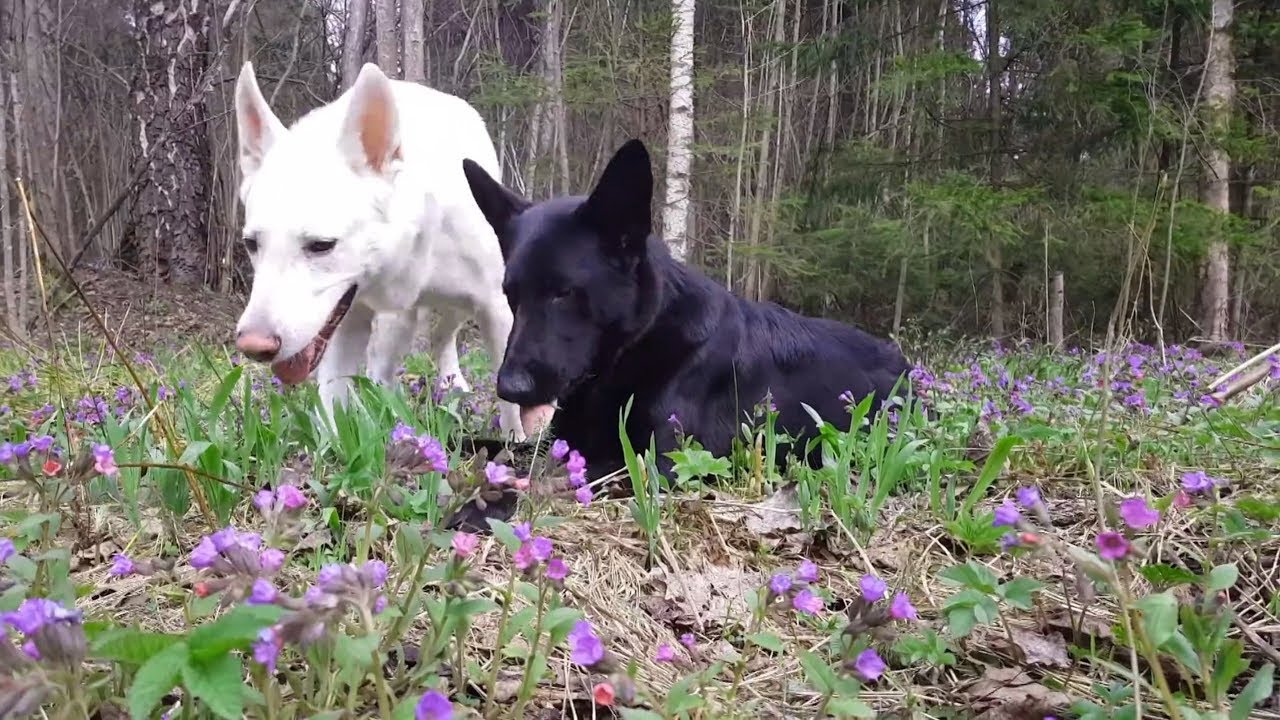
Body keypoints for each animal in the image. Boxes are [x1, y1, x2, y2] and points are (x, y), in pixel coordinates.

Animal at [230, 63, 540, 438]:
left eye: (321, 246)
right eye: (251, 244)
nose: (253, 347)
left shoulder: (496, 308)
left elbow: (510, 398)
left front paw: (519, 439)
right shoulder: (345, 323)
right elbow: (332, 403)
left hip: (457, 306)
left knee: (441, 336)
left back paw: (452, 384)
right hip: (394, 324)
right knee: (388, 365)